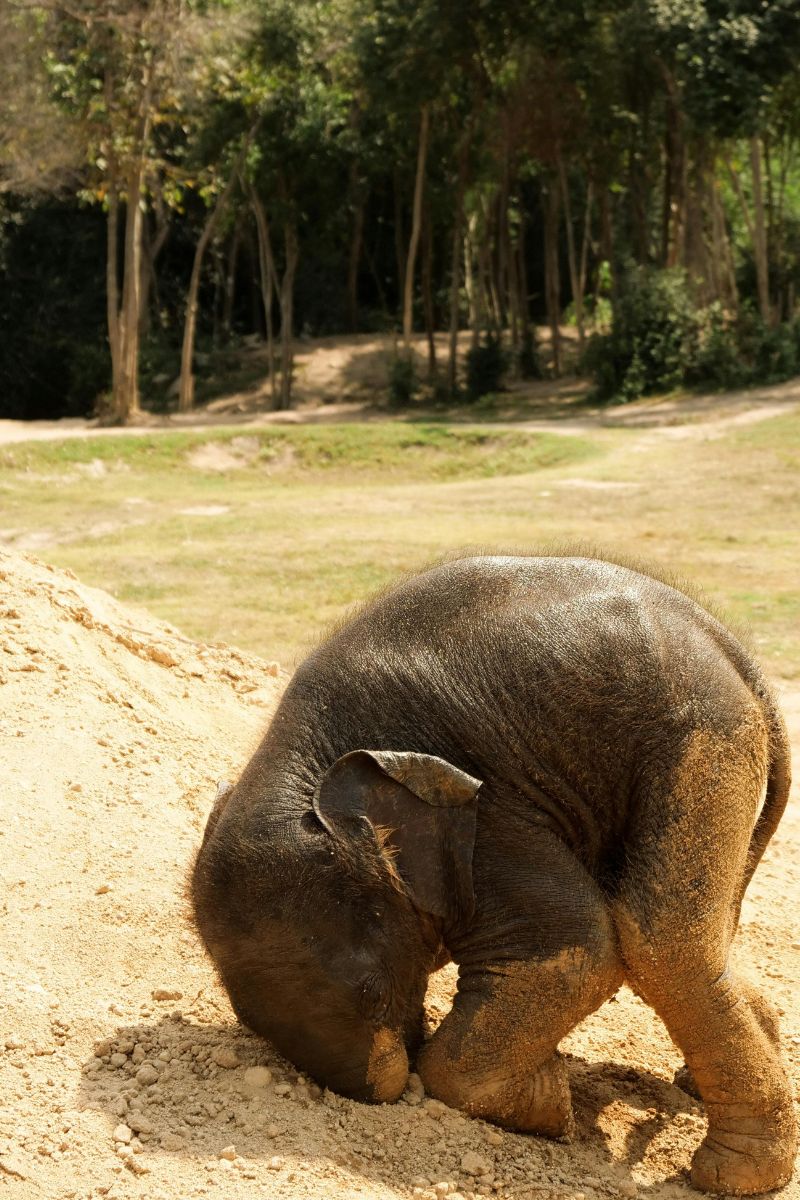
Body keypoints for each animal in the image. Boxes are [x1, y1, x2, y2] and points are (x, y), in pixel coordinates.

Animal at [191, 555, 796, 1195]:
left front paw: (553, 1108)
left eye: (374, 991)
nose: (389, 1087)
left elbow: (572, 949)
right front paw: (550, 1093)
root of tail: (738, 658)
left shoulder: (489, 807)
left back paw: (733, 1175)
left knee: (662, 940)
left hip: (700, 741)